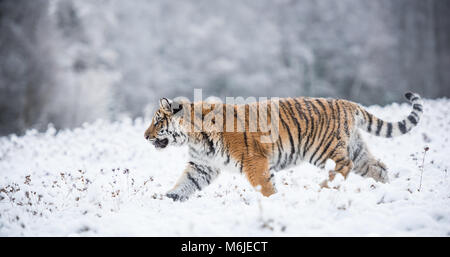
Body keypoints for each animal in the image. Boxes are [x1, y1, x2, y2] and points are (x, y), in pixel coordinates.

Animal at [145, 91, 426, 200]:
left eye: (158, 121)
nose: (145, 136)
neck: (194, 136)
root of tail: (346, 102)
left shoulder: (254, 160)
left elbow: (265, 186)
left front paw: (272, 202)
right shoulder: (202, 166)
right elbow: (184, 185)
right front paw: (166, 199)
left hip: (323, 149)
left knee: (343, 166)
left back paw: (323, 190)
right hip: (356, 149)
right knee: (378, 166)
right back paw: (390, 189)